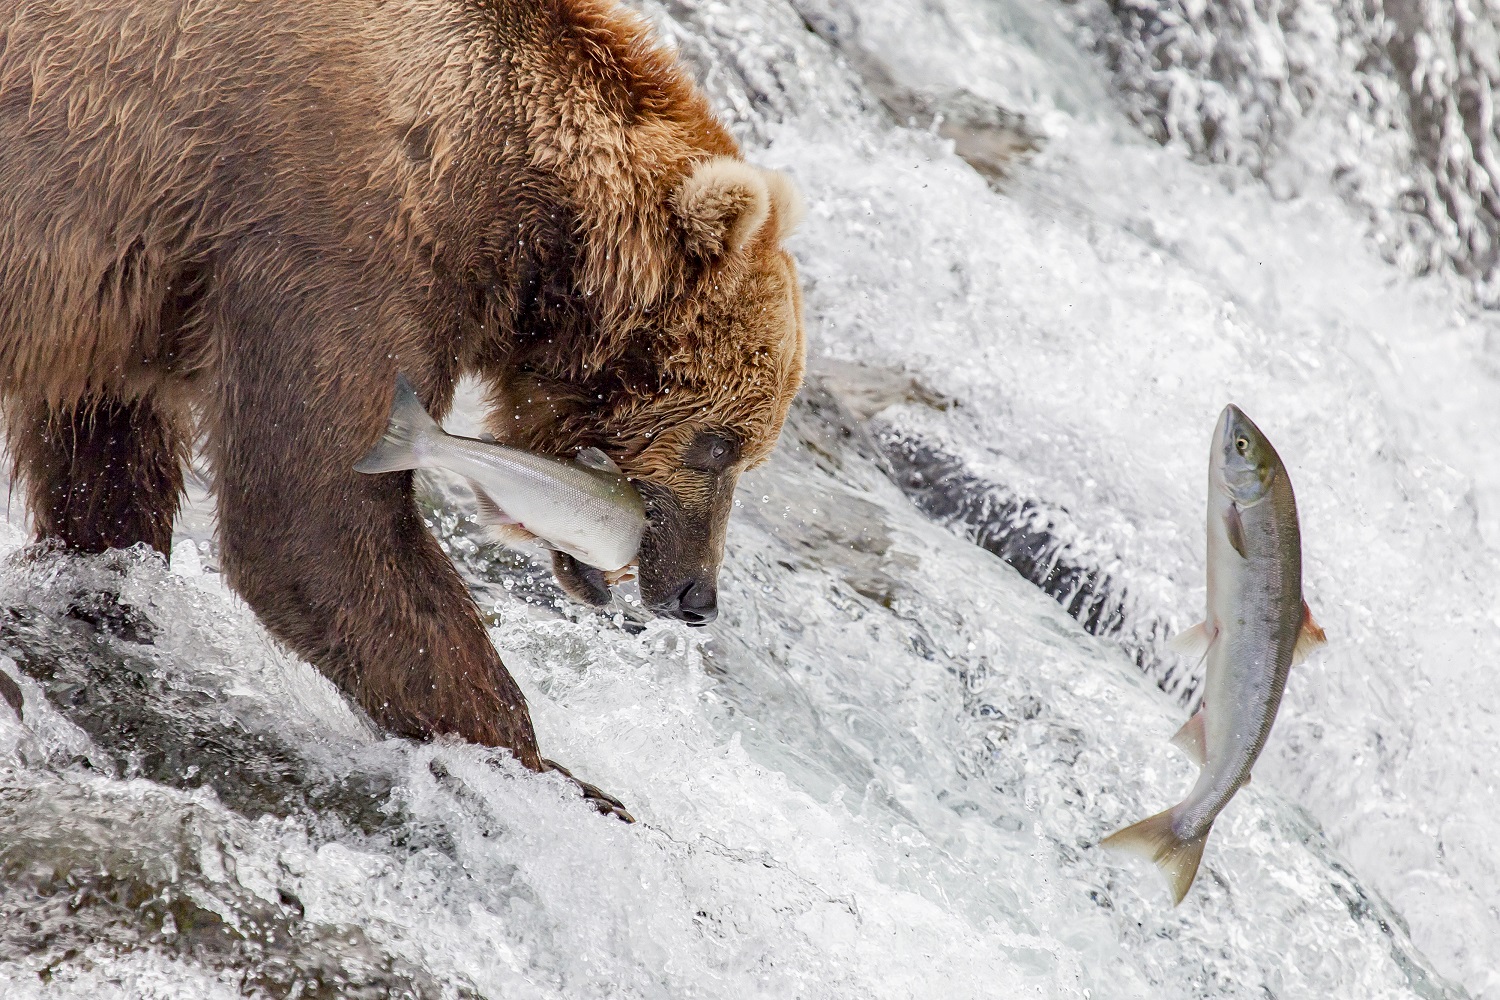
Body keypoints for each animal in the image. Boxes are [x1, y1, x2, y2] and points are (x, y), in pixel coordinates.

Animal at [0, 0, 810, 773]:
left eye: (749, 452)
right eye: (719, 445)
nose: (699, 595)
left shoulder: (139, 292)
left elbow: (106, 451)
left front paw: (107, 586)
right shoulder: (340, 233)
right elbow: (317, 517)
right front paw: (545, 765)